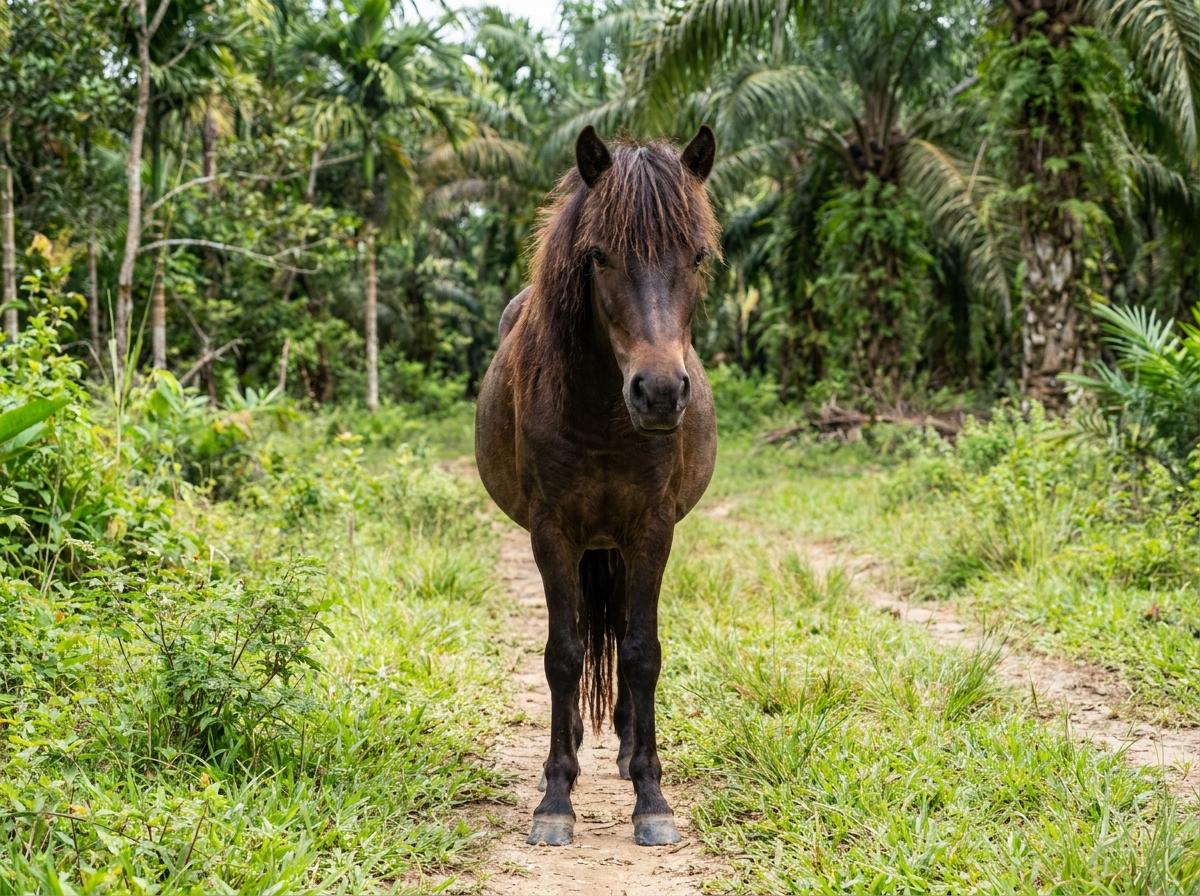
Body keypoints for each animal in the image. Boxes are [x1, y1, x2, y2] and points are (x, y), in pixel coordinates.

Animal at [475, 124, 719, 848]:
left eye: (697, 255)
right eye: (600, 256)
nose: (660, 393)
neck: (606, 415)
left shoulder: (652, 532)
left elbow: (641, 654)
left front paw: (651, 796)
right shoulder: (553, 532)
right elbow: (564, 654)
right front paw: (556, 798)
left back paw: (625, 746)